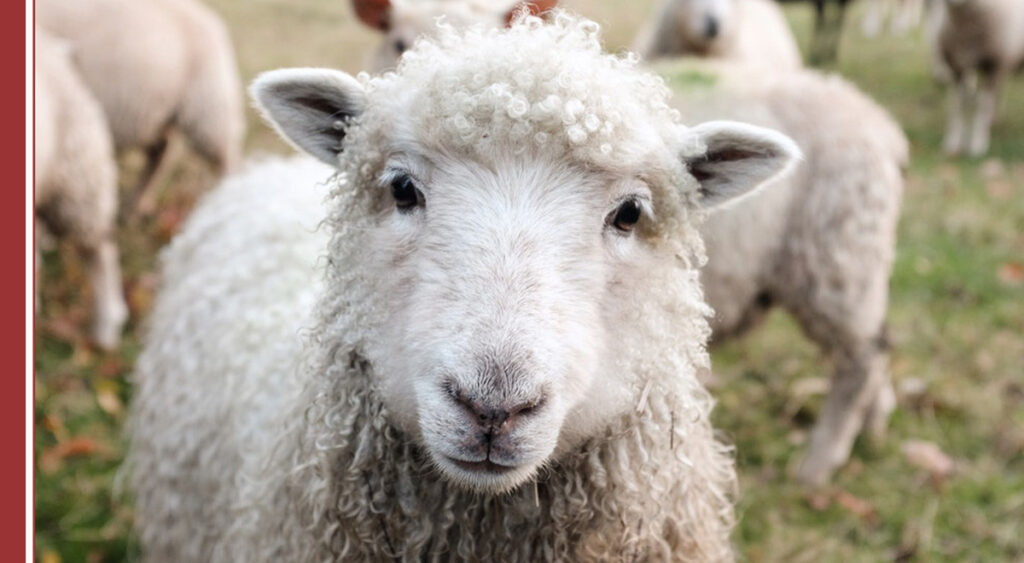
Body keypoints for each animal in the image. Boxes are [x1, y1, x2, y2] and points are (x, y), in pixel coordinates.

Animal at [36, 0, 244, 216]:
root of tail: (213, 23)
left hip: (208, 107)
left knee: (226, 158)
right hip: (157, 115)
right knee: (161, 153)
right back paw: (136, 205)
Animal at [935, 0, 1024, 157]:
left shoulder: (992, 66)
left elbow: (983, 104)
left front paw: (978, 144)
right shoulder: (957, 67)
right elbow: (957, 104)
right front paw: (953, 143)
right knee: (1000, 89)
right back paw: (995, 119)